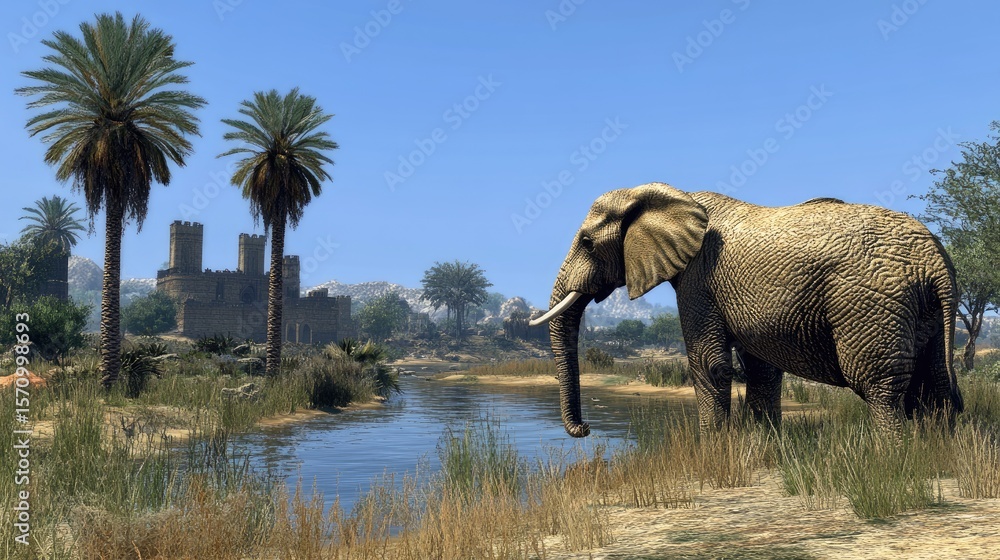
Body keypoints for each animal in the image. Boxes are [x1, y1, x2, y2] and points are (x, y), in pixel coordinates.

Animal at [531, 183, 963, 437]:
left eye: (587, 243)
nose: (586, 428)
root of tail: (934, 259)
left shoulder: (699, 278)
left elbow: (709, 363)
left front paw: (712, 451)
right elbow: (761, 368)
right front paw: (765, 444)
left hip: (868, 303)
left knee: (879, 385)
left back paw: (890, 455)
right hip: (921, 307)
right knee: (934, 379)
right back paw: (938, 448)